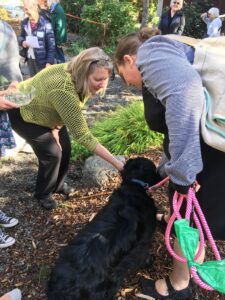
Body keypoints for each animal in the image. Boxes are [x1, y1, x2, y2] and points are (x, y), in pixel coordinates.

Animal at [46, 158, 159, 298]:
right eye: (155, 169)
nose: (161, 174)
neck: (134, 187)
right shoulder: (142, 244)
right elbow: (143, 256)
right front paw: (149, 261)